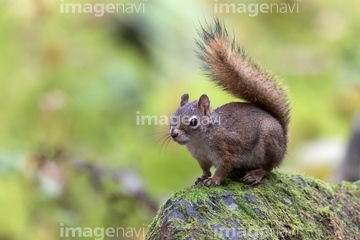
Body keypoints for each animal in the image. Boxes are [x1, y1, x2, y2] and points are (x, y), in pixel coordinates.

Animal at [169, 19, 290, 187]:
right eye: (172, 117)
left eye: (194, 122)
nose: (173, 134)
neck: (199, 141)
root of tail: (283, 141)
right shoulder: (201, 157)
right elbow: (205, 169)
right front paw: (202, 177)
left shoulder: (227, 149)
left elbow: (225, 166)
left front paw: (214, 180)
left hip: (269, 143)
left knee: (269, 167)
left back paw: (256, 174)